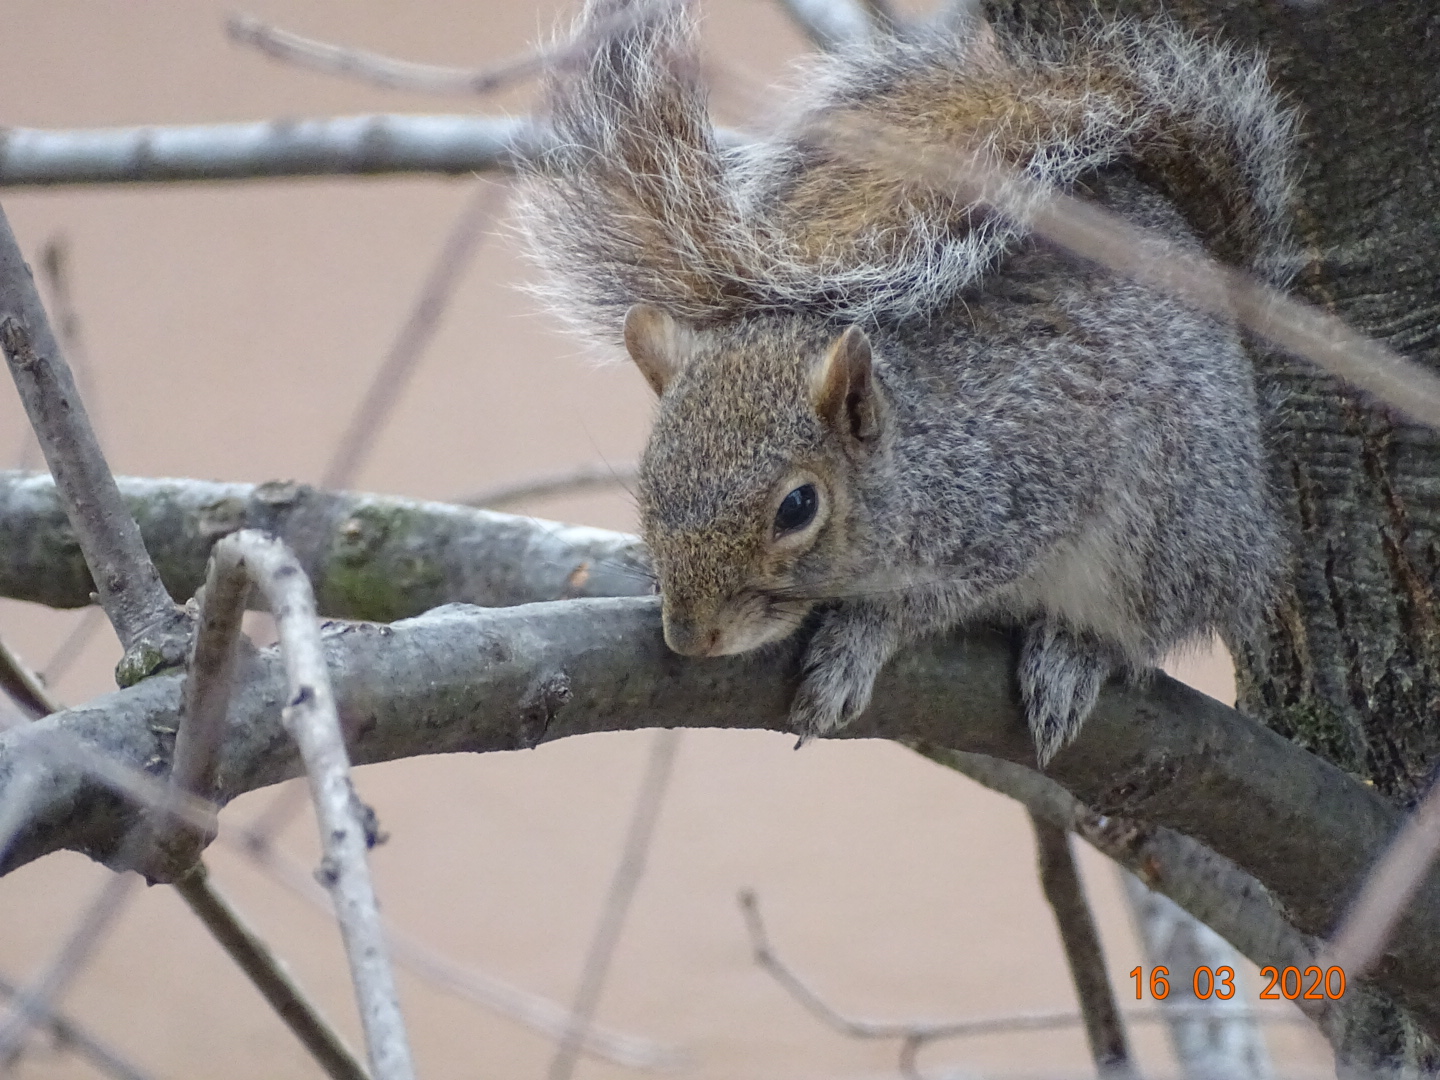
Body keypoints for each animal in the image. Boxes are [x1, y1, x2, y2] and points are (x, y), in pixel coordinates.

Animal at [516, 0, 1294, 764]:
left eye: (798, 508)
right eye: (648, 484)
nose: (691, 636)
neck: (917, 453)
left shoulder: (1024, 488)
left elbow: (927, 601)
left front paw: (859, 641)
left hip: (1166, 533)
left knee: (1149, 622)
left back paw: (1075, 655)